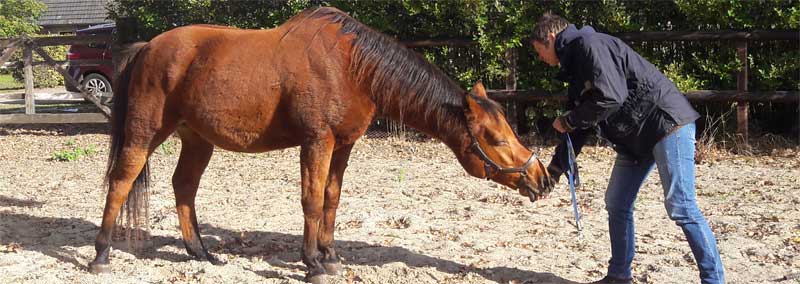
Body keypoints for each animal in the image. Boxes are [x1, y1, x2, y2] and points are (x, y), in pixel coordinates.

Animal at [87, 7, 552, 284]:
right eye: (495, 138)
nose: (542, 178)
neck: (352, 67)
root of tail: (148, 47)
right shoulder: (318, 142)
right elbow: (311, 200)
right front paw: (312, 263)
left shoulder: (342, 146)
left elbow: (331, 199)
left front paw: (329, 255)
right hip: (145, 133)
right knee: (121, 181)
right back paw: (101, 254)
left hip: (197, 140)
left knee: (184, 187)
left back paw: (201, 253)